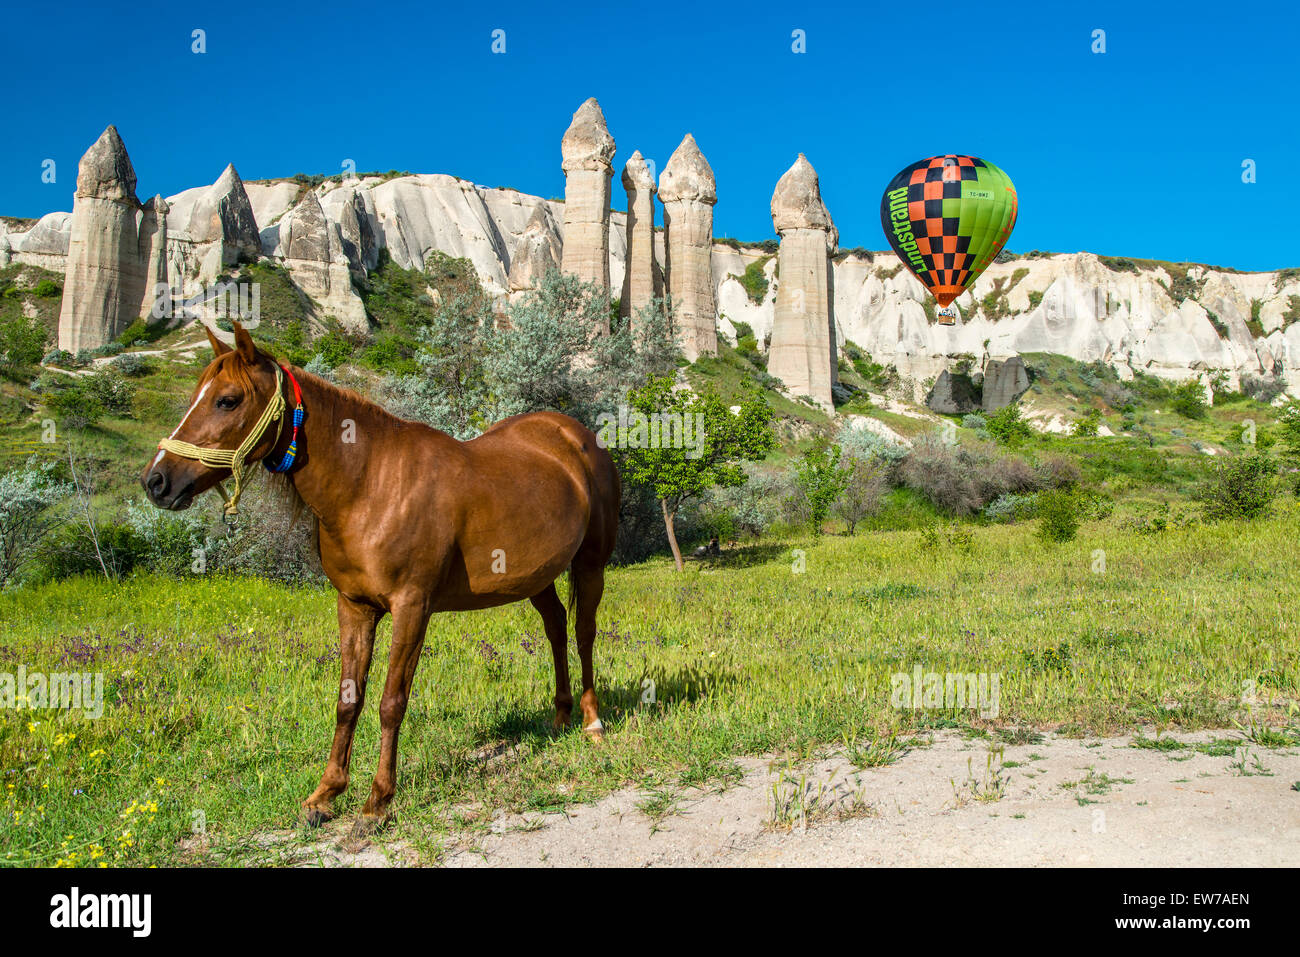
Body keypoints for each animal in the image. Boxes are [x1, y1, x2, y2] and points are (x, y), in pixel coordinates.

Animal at [144, 321, 621, 832]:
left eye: (227, 400)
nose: (156, 482)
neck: (370, 486)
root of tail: (574, 435)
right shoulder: (354, 607)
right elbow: (347, 700)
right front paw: (325, 795)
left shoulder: (412, 607)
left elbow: (391, 702)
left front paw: (377, 802)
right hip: (535, 579)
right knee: (555, 627)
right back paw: (560, 717)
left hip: (590, 564)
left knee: (583, 632)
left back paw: (591, 722)